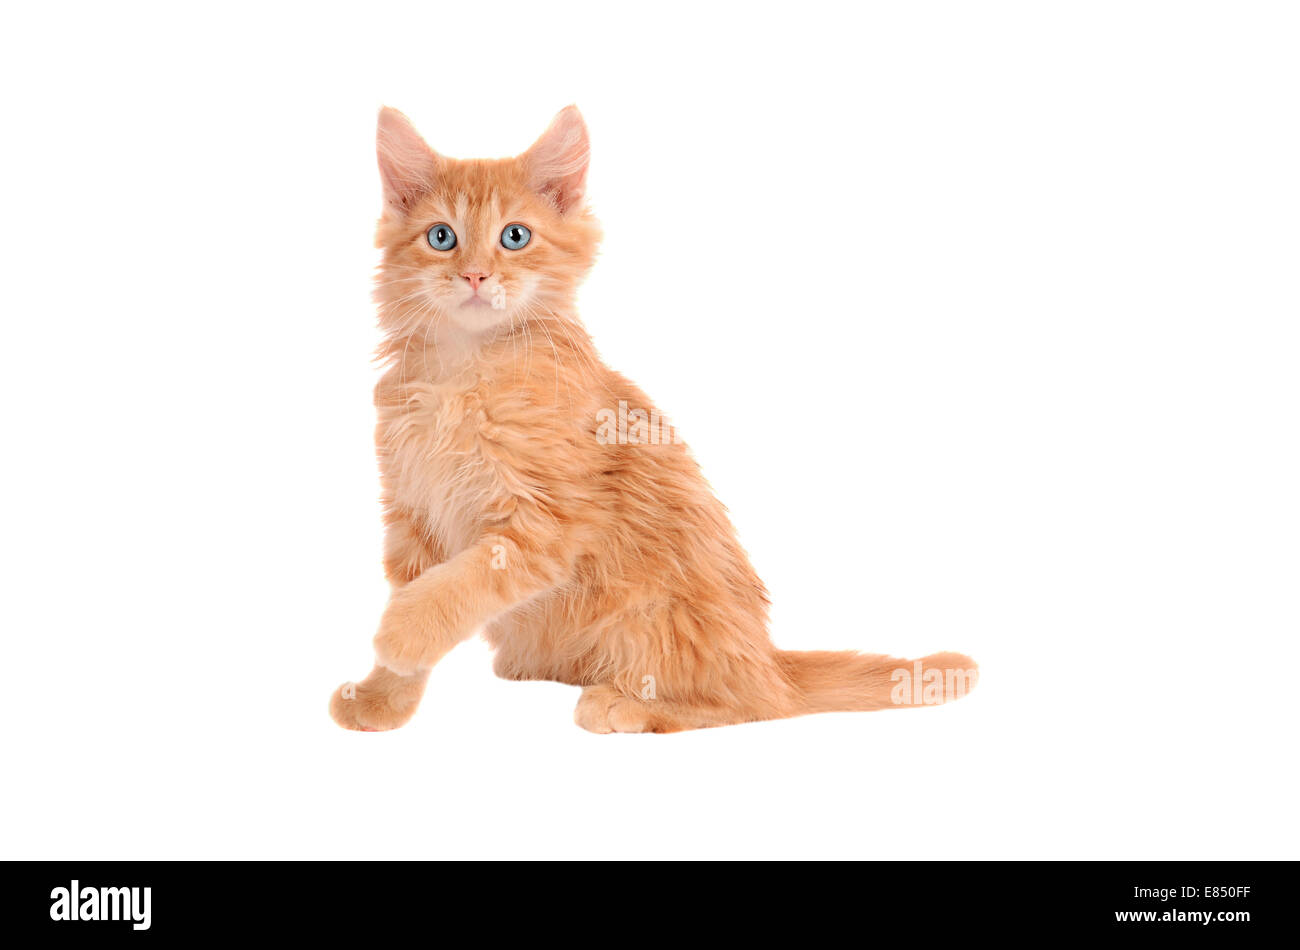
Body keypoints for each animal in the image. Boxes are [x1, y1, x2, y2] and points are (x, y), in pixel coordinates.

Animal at [327, 105, 977, 738]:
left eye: (515, 237)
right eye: (442, 237)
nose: (476, 276)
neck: (464, 369)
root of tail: (770, 660)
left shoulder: (548, 522)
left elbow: (458, 585)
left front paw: (400, 634)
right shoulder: (411, 511)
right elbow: (426, 589)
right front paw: (383, 698)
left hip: (655, 616)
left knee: (748, 705)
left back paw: (624, 706)